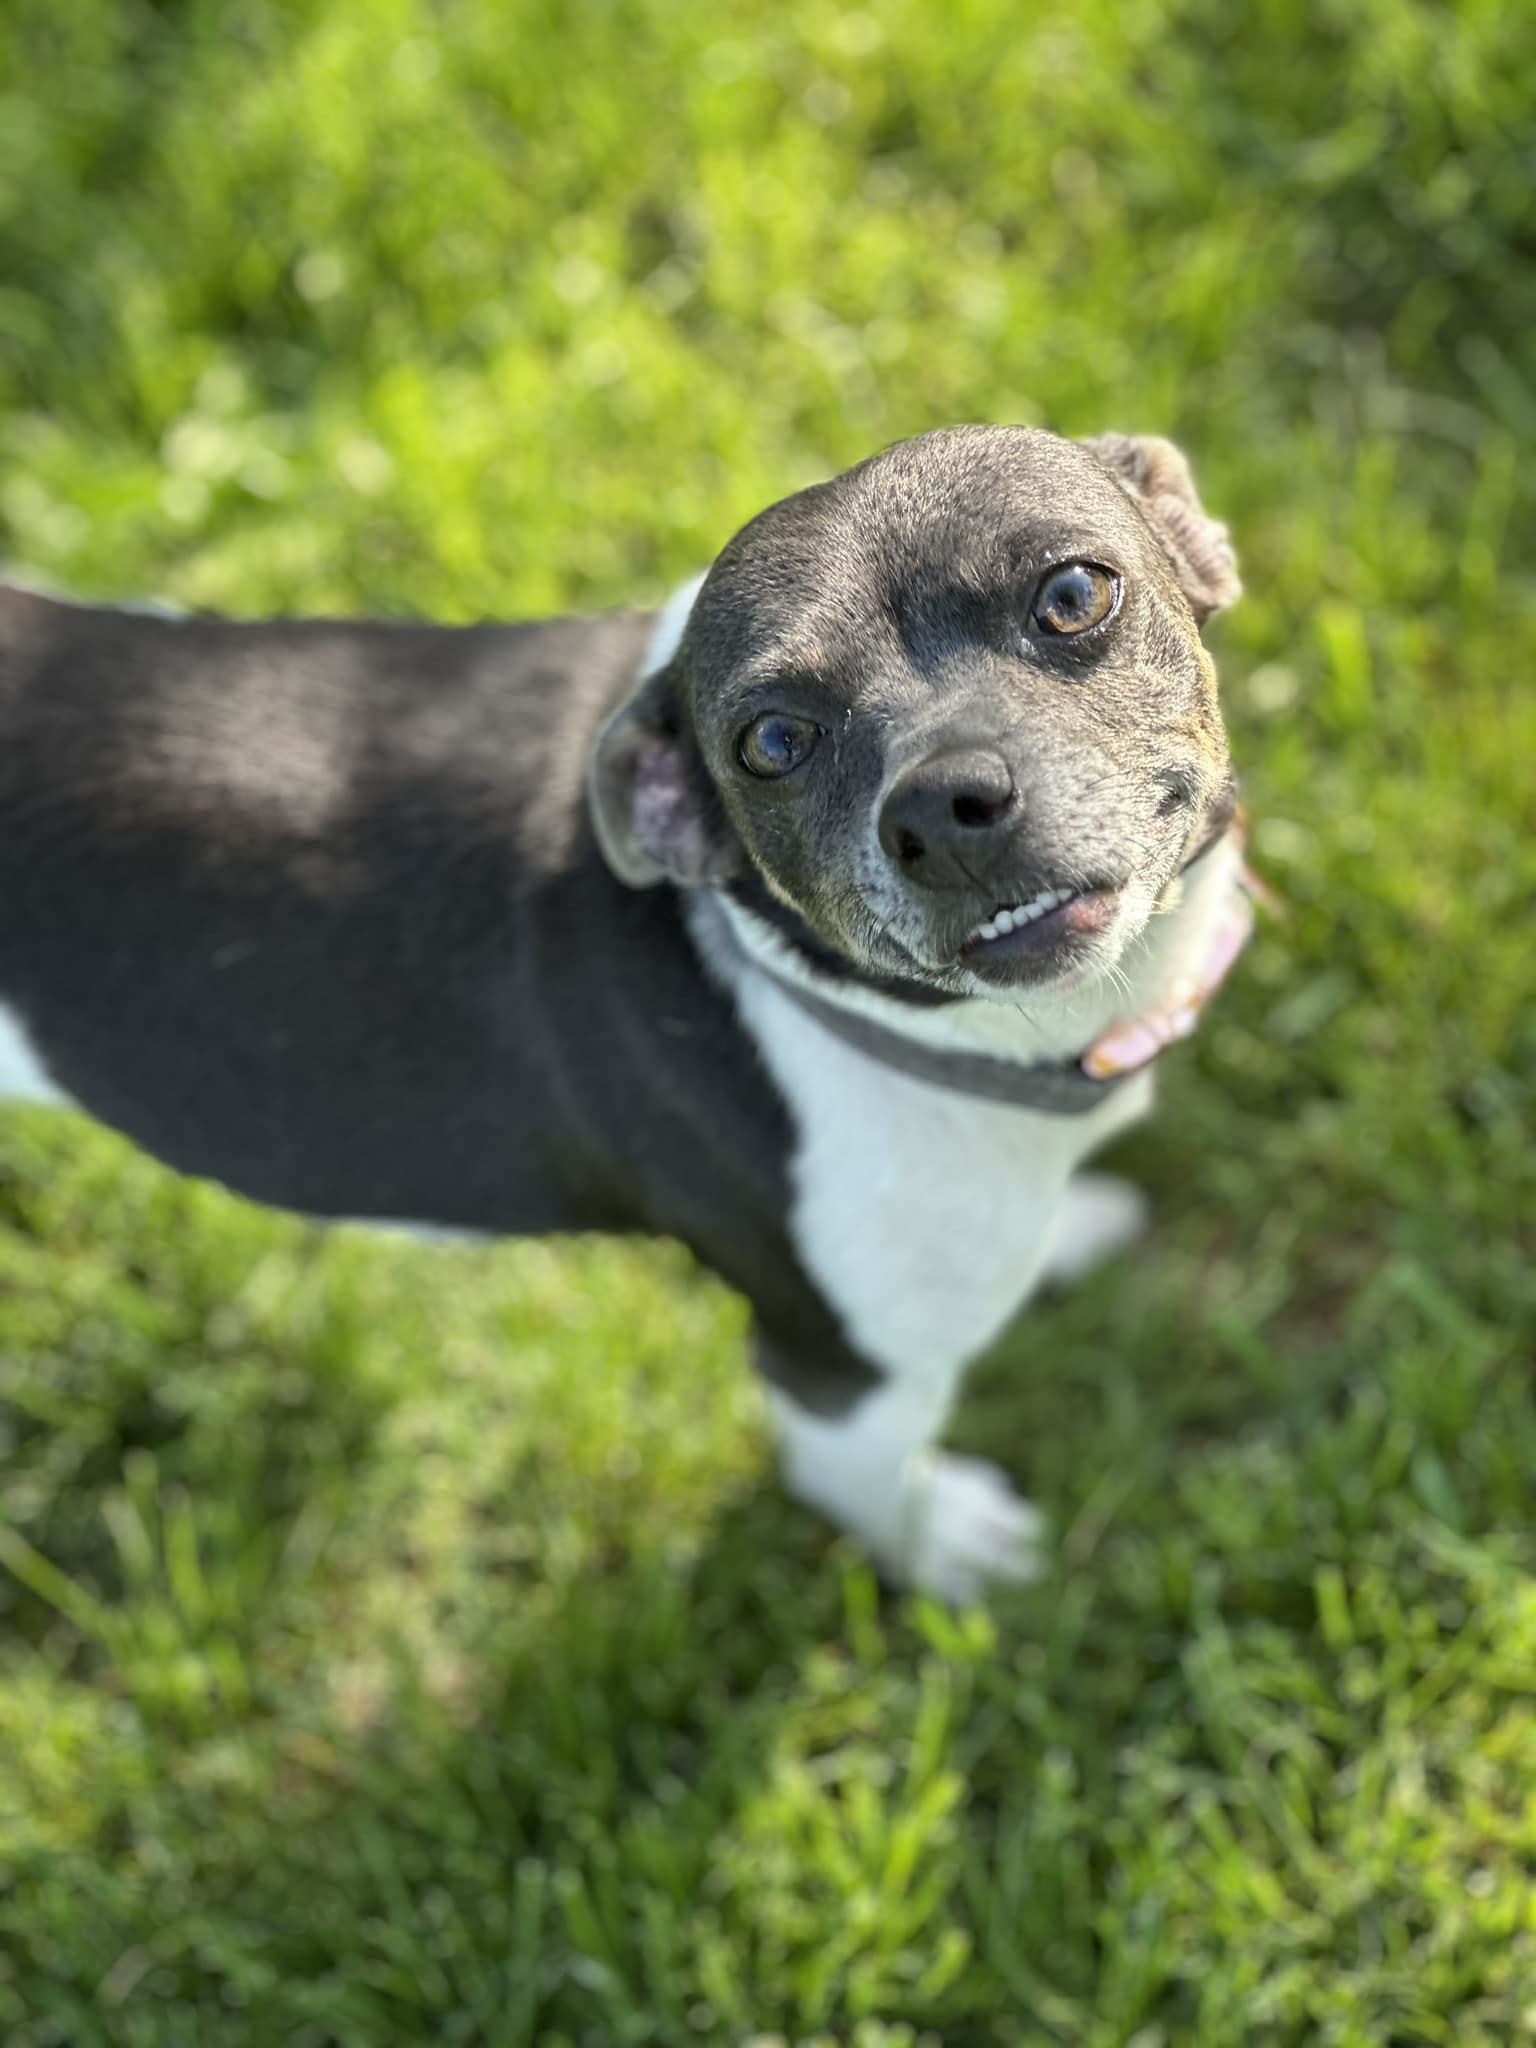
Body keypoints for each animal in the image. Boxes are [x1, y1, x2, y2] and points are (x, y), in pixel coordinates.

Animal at [0, 419, 1253, 1597]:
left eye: (1073, 594)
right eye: (773, 742)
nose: (943, 805)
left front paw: (1068, 1228)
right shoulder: (838, 1381)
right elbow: (873, 1485)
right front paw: (948, 1547)